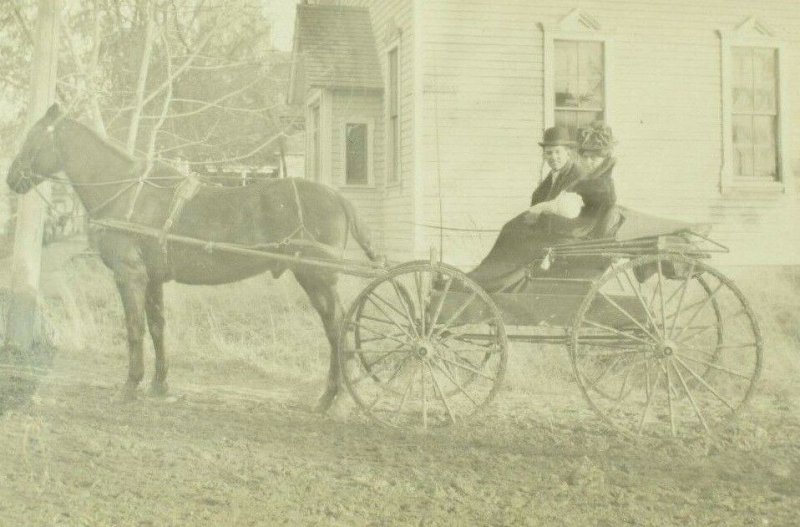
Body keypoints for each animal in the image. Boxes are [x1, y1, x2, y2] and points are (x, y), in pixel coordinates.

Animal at [7, 101, 378, 410]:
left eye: (32, 137)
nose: (11, 179)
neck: (127, 192)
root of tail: (336, 196)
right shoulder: (152, 278)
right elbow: (157, 327)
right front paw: (159, 385)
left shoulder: (129, 275)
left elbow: (134, 328)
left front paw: (129, 386)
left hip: (316, 277)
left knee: (336, 328)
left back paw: (333, 396)